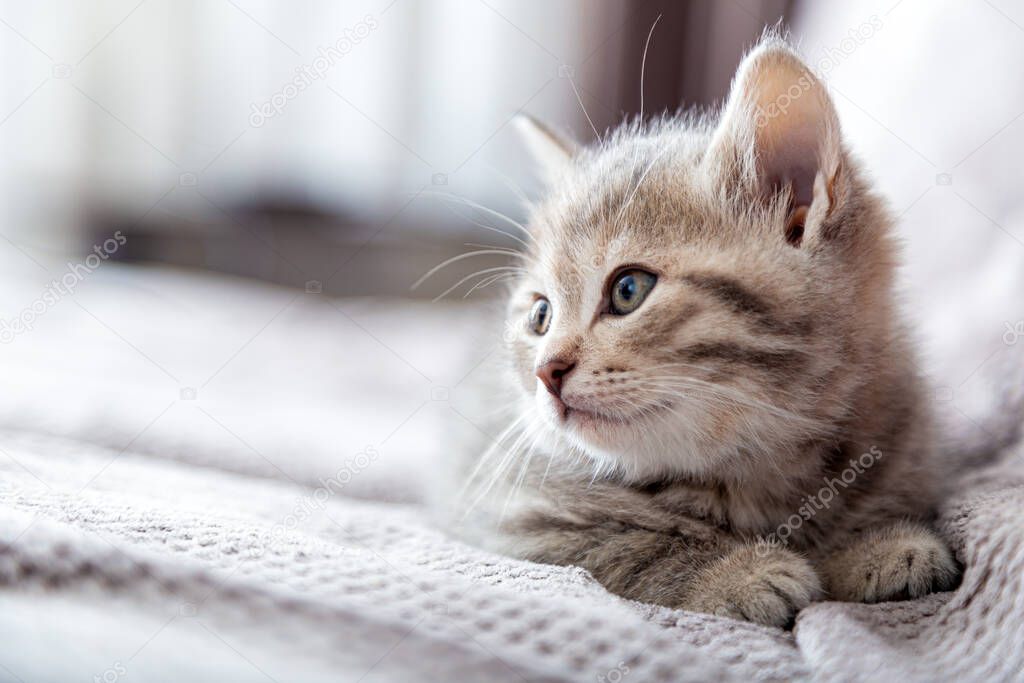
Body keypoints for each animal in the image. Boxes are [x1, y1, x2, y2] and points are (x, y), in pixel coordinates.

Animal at [464, 34, 958, 626]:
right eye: (540, 316)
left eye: (628, 289)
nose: (545, 371)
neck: (755, 468)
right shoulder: (517, 518)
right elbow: (626, 544)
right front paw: (737, 573)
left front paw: (875, 546)